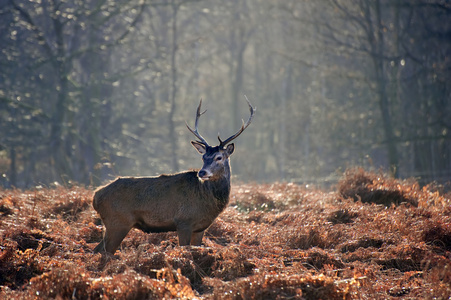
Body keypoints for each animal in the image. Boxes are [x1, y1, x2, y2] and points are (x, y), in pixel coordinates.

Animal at [93, 98, 256, 253]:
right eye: (203, 157)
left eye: (219, 157)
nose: (202, 172)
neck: (208, 202)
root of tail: (96, 196)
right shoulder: (183, 221)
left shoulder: (200, 228)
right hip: (118, 222)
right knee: (104, 251)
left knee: (97, 249)